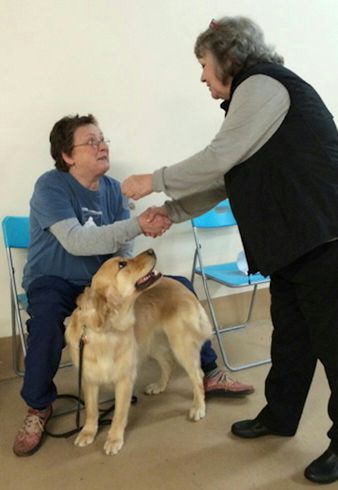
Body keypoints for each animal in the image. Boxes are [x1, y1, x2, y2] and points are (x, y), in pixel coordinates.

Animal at [65, 249, 213, 456]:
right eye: (122, 264)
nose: (151, 250)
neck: (107, 330)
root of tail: (181, 286)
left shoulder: (124, 380)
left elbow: (119, 414)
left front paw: (114, 439)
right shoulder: (89, 379)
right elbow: (92, 411)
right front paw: (88, 432)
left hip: (180, 344)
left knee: (198, 376)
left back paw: (198, 407)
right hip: (152, 344)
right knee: (169, 364)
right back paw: (159, 386)